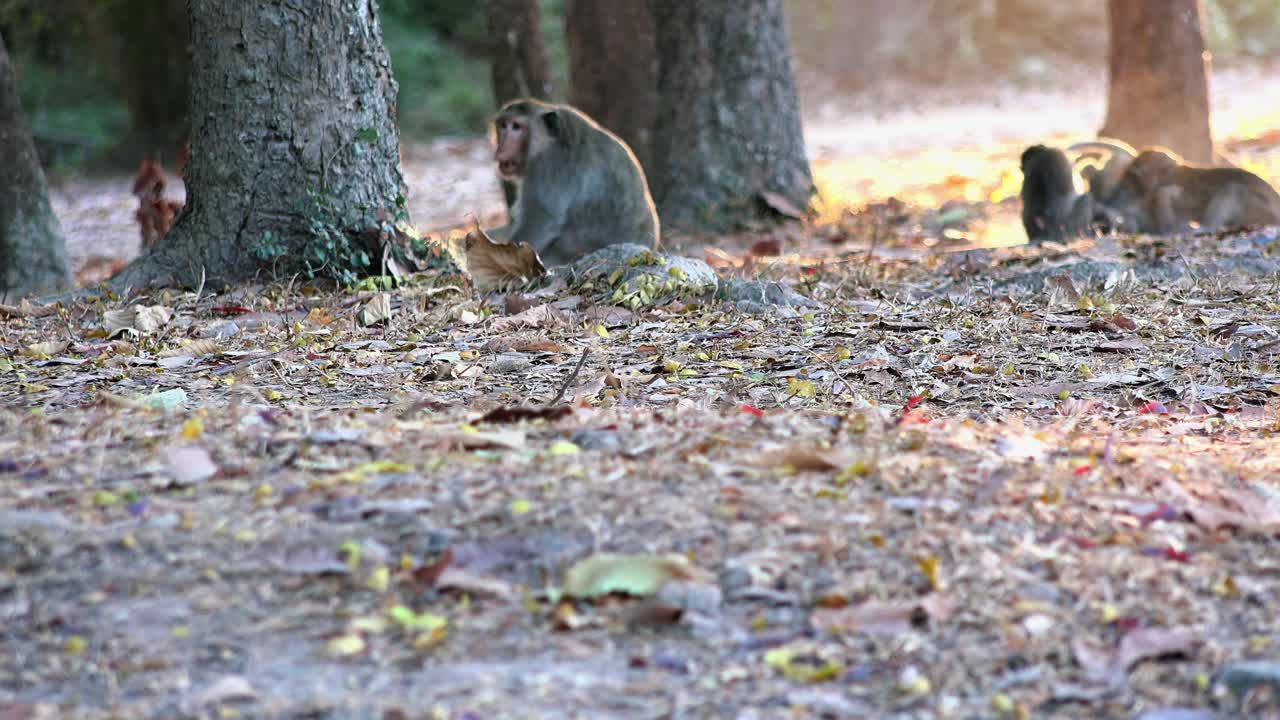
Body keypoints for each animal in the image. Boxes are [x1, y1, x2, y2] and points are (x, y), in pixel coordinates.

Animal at [490, 98, 659, 265]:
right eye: (503, 126)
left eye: (516, 127)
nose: (500, 150)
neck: (549, 141)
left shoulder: (550, 164)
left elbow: (544, 218)